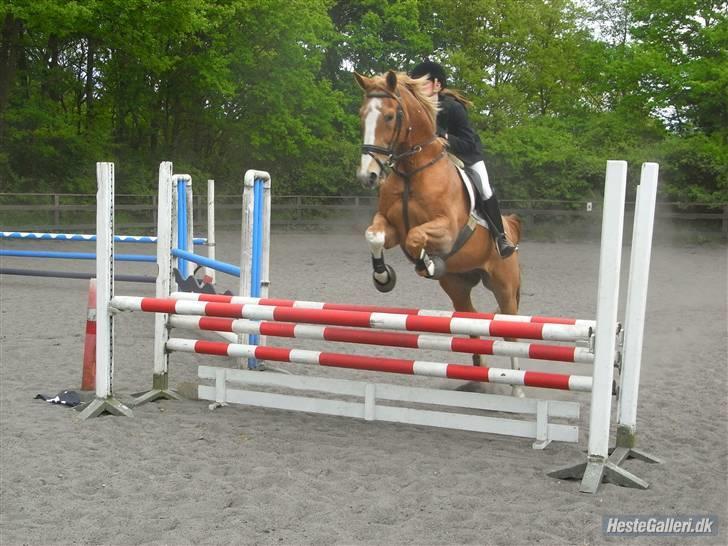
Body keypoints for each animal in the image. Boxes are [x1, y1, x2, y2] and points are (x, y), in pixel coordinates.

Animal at [356, 70, 524, 394]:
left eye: (390, 116)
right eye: (362, 115)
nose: (367, 176)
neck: (412, 169)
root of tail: (510, 228)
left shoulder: (445, 229)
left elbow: (416, 238)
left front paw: (428, 263)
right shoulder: (390, 226)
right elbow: (374, 236)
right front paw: (383, 277)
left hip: (504, 286)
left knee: (510, 330)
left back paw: (517, 387)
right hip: (457, 285)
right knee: (471, 320)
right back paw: (476, 378)